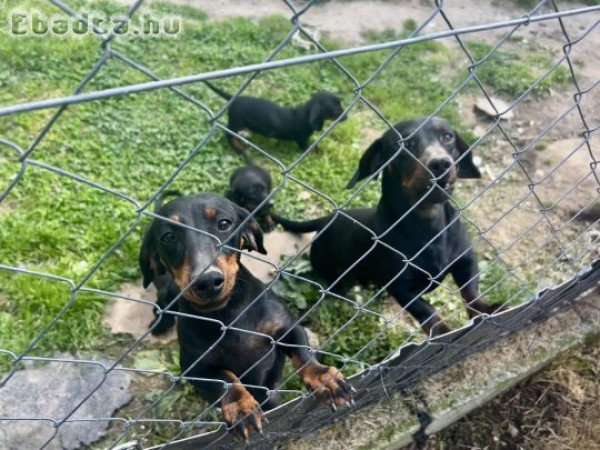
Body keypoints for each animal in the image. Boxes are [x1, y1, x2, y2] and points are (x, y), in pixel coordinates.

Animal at [139, 193, 352, 440]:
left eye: (224, 224)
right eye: (168, 237)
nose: (207, 281)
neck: (229, 313)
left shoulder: (288, 327)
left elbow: (302, 354)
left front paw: (324, 378)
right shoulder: (195, 369)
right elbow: (226, 381)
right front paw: (241, 408)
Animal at [204, 81, 346, 161]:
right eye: (337, 109)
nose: (346, 117)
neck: (304, 115)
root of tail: (235, 99)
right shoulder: (302, 141)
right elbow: (312, 148)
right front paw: (322, 154)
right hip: (235, 122)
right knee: (229, 136)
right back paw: (240, 149)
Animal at [274, 118, 504, 336]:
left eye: (448, 137)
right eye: (404, 144)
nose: (441, 163)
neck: (429, 227)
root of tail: (326, 219)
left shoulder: (465, 261)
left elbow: (470, 291)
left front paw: (486, 309)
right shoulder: (403, 289)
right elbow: (427, 311)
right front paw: (442, 332)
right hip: (330, 270)